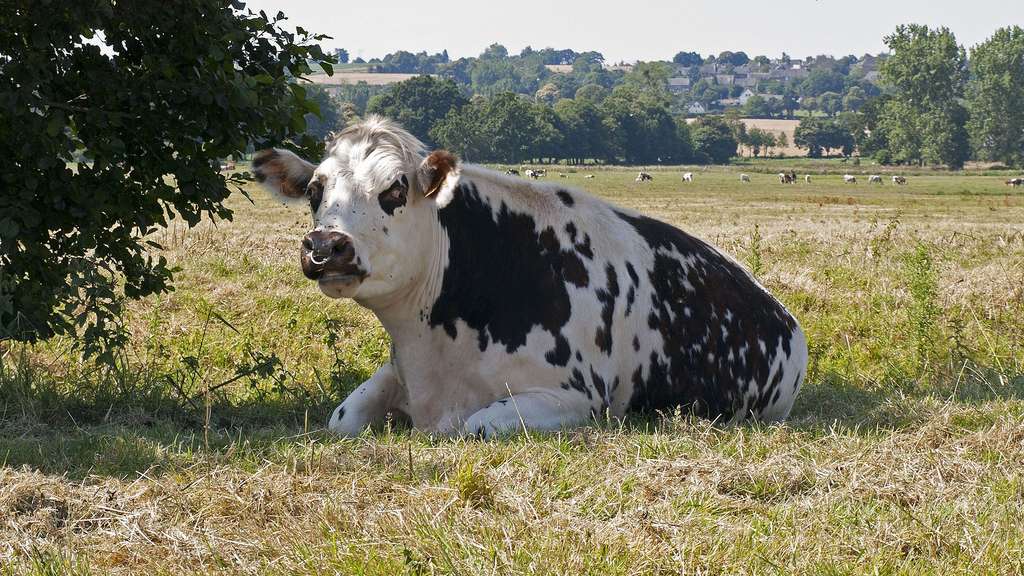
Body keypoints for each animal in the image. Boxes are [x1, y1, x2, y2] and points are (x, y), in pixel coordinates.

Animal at [251, 117, 802, 438]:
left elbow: (475, 426)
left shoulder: (574, 399)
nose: (326, 246)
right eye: (315, 191)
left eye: (394, 190)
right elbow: (340, 420)